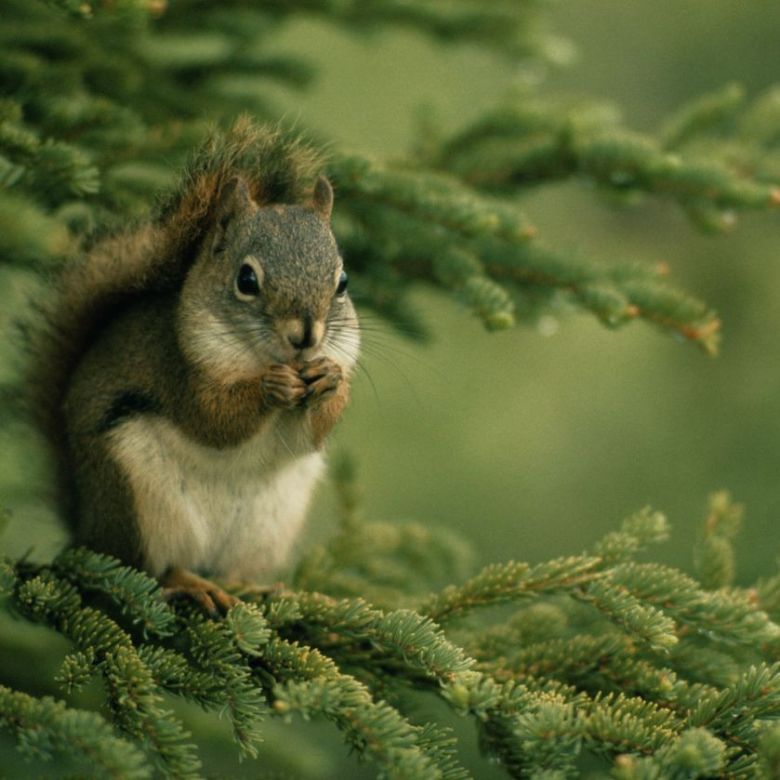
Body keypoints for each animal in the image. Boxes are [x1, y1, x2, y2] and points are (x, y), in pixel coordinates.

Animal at [25, 119, 362, 612]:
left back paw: (253, 587)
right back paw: (190, 583)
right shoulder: (177, 371)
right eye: (246, 279)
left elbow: (311, 434)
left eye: (342, 282)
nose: (305, 337)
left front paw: (330, 380)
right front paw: (270, 386)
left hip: (268, 525)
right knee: (151, 568)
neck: (264, 355)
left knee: (230, 570)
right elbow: (213, 420)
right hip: (139, 501)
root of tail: (88, 529)